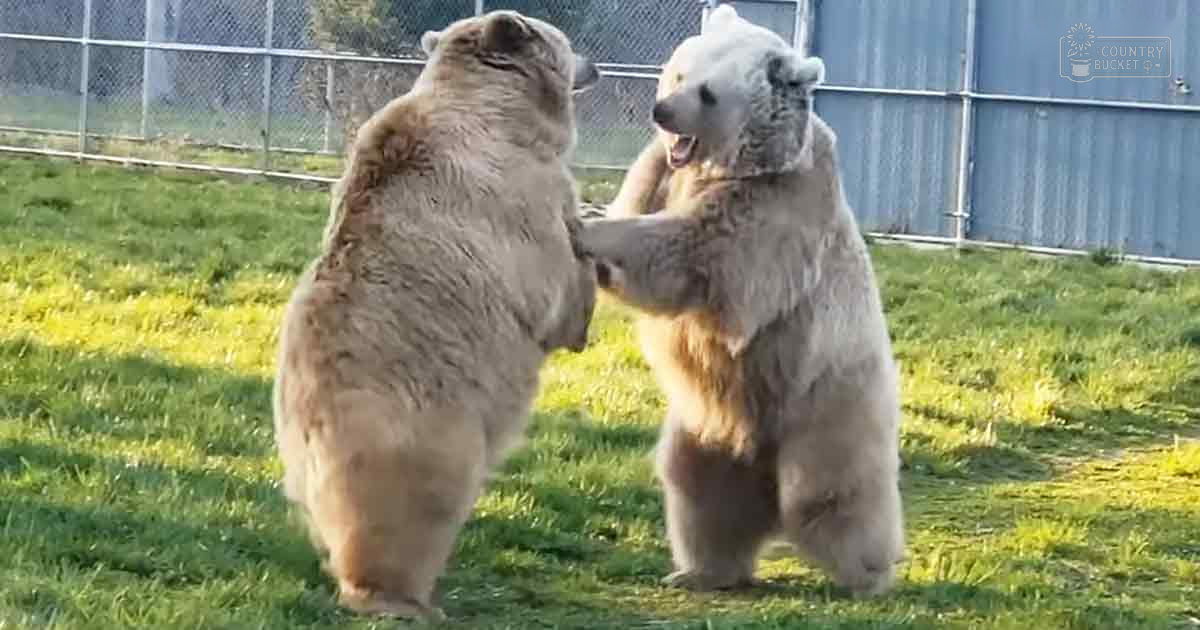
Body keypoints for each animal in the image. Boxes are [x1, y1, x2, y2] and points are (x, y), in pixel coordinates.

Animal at [271, 10, 600, 621]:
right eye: (564, 41)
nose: (594, 66)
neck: (504, 107)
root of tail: (310, 433)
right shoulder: (519, 195)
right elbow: (554, 287)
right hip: (426, 439)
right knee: (408, 520)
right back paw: (405, 600)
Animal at [576, 5, 905, 597]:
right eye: (679, 73)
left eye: (708, 93)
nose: (662, 111)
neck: (727, 164)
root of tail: (761, 455)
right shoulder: (658, 173)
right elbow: (638, 207)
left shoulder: (777, 206)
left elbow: (692, 253)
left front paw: (590, 230)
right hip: (705, 422)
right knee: (700, 488)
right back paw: (701, 570)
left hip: (828, 395)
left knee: (836, 491)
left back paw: (867, 573)